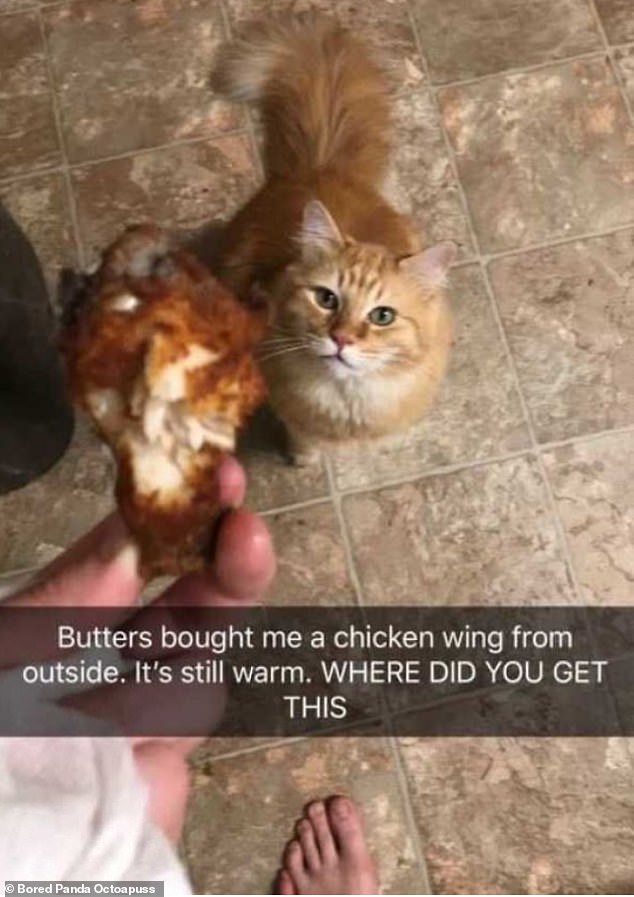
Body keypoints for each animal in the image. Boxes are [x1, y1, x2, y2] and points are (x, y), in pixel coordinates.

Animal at [213, 16, 456, 465]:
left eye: (383, 316)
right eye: (326, 299)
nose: (341, 339)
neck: (348, 400)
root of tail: (320, 166)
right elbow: (302, 437)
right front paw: (302, 459)